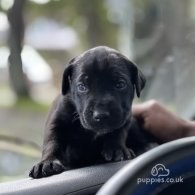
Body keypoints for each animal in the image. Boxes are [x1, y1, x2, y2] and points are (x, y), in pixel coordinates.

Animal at [29, 46, 155, 178]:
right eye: (82, 87)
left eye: (120, 84)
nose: (101, 114)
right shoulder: (56, 122)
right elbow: (52, 141)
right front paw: (48, 162)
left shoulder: (126, 117)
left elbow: (119, 132)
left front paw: (117, 149)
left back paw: (147, 146)